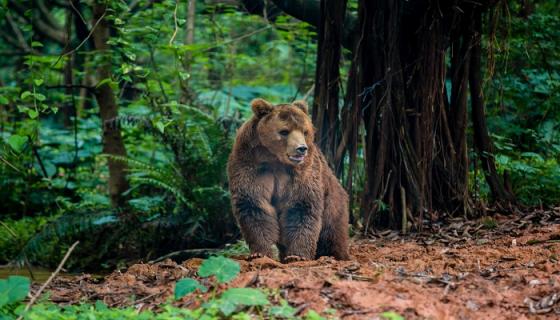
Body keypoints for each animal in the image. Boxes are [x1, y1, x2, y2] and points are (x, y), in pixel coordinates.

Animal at [225, 98, 348, 262]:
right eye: (284, 131)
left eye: (305, 131)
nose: (301, 148)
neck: (274, 159)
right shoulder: (250, 164)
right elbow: (254, 205)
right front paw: (260, 252)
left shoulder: (303, 171)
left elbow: (301, 207)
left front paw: (297, 255)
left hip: (333, 204)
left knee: (331, 234)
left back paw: (335, 254)